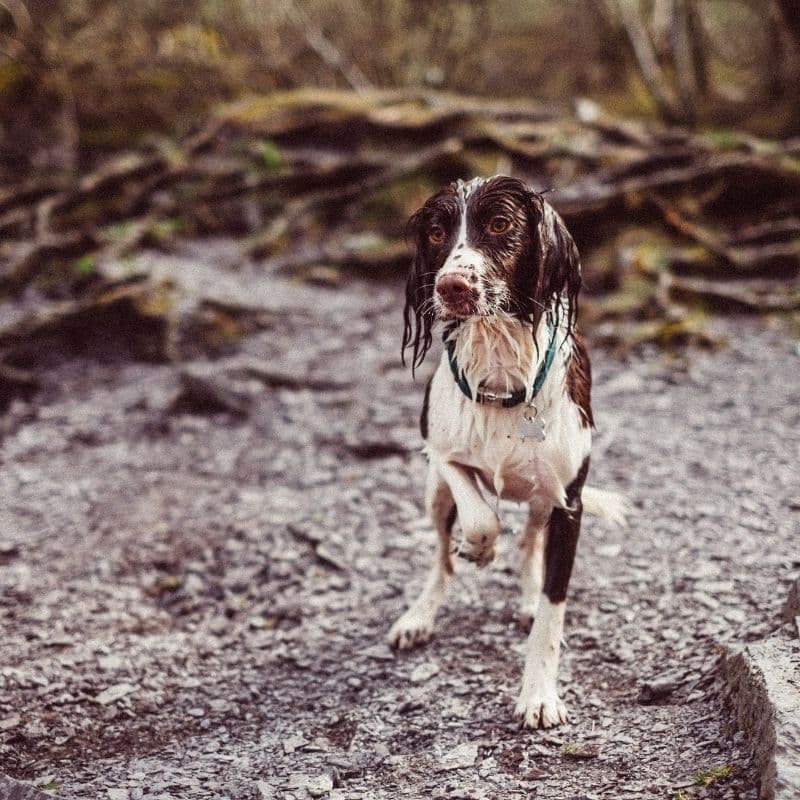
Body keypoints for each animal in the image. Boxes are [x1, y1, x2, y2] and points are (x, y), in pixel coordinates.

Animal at [386, 177, 624, 732]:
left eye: (499, 224)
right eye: (436, 231)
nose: (451, 286)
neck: (499, 370)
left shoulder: (568, 503)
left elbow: (553, 611)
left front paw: (538, 696)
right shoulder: (438, 452)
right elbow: (479, 515)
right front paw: (479, 548)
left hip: (541, 502)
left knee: (529, 544)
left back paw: (525, 594)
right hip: (433, 496)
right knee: (442, 558)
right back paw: (420, 615)